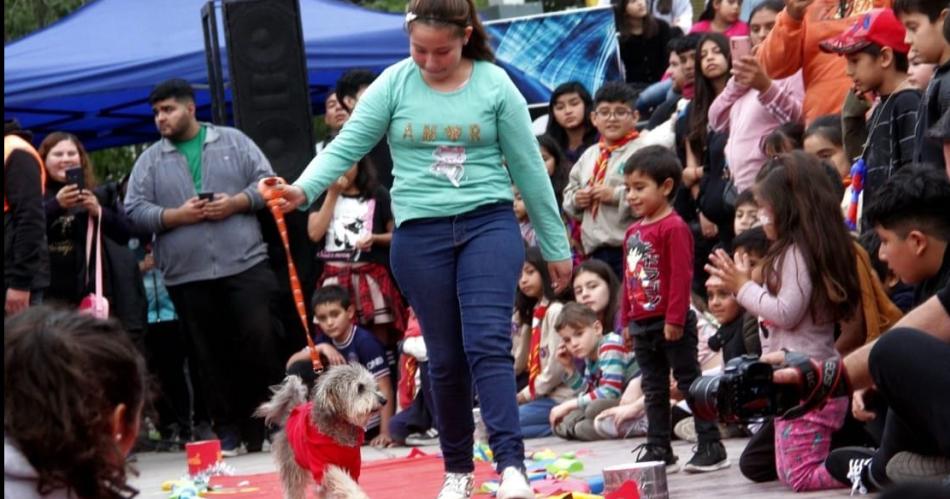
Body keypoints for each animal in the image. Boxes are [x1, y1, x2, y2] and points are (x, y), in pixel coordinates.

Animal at [256, 364, 386, 499]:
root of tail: (292, 411)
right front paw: (357, 495)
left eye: (373, 385)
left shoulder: (353, 465)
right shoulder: (322, 465)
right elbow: (340, 479)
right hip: (292, 466)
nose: (383, 400)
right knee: (295, 489)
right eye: (360, 388)